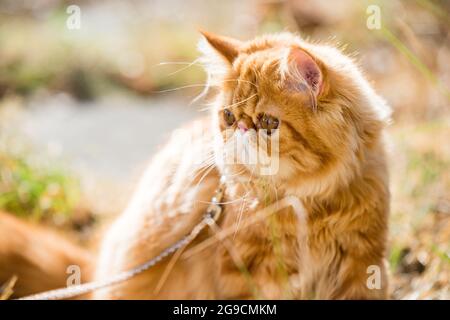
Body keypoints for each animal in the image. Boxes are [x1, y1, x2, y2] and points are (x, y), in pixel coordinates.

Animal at [92, 31, 390, 298]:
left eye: (269, 123)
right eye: (228, 117)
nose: (242, 128)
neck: (309, 204)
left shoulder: (362, 263)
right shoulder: (241, 274)